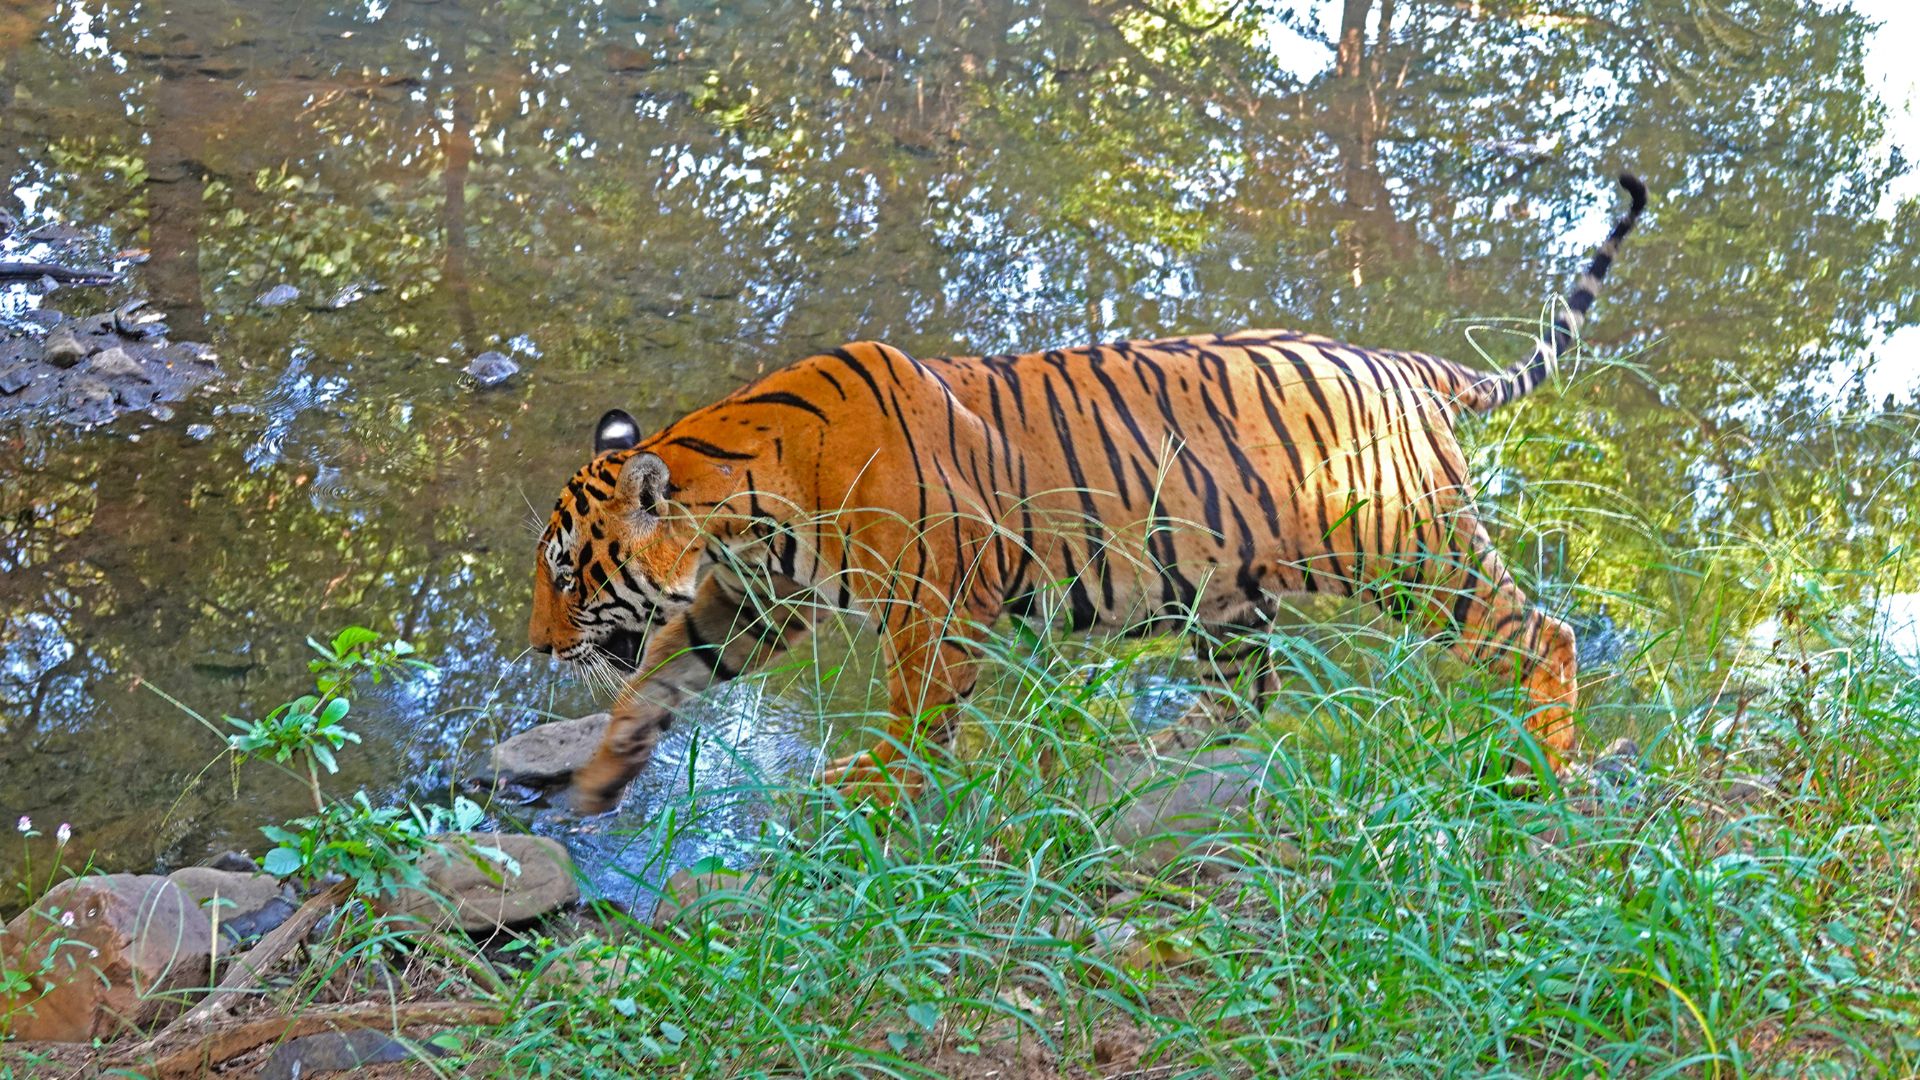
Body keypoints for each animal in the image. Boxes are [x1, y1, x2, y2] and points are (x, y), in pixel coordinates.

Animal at [530, 174, 1648, 815]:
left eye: (569, 574)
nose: (537, 649)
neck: (742, 505)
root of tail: (1404, 363)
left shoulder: (935, 606)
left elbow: (912, 715)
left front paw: (879, 789)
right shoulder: (758, 598)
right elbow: (660, 674)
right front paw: (600, 777)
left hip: (1407, 550)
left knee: (1542, 635)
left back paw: (1551, 771)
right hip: (1227, 592)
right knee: (1239, 697)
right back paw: (1139, 764)